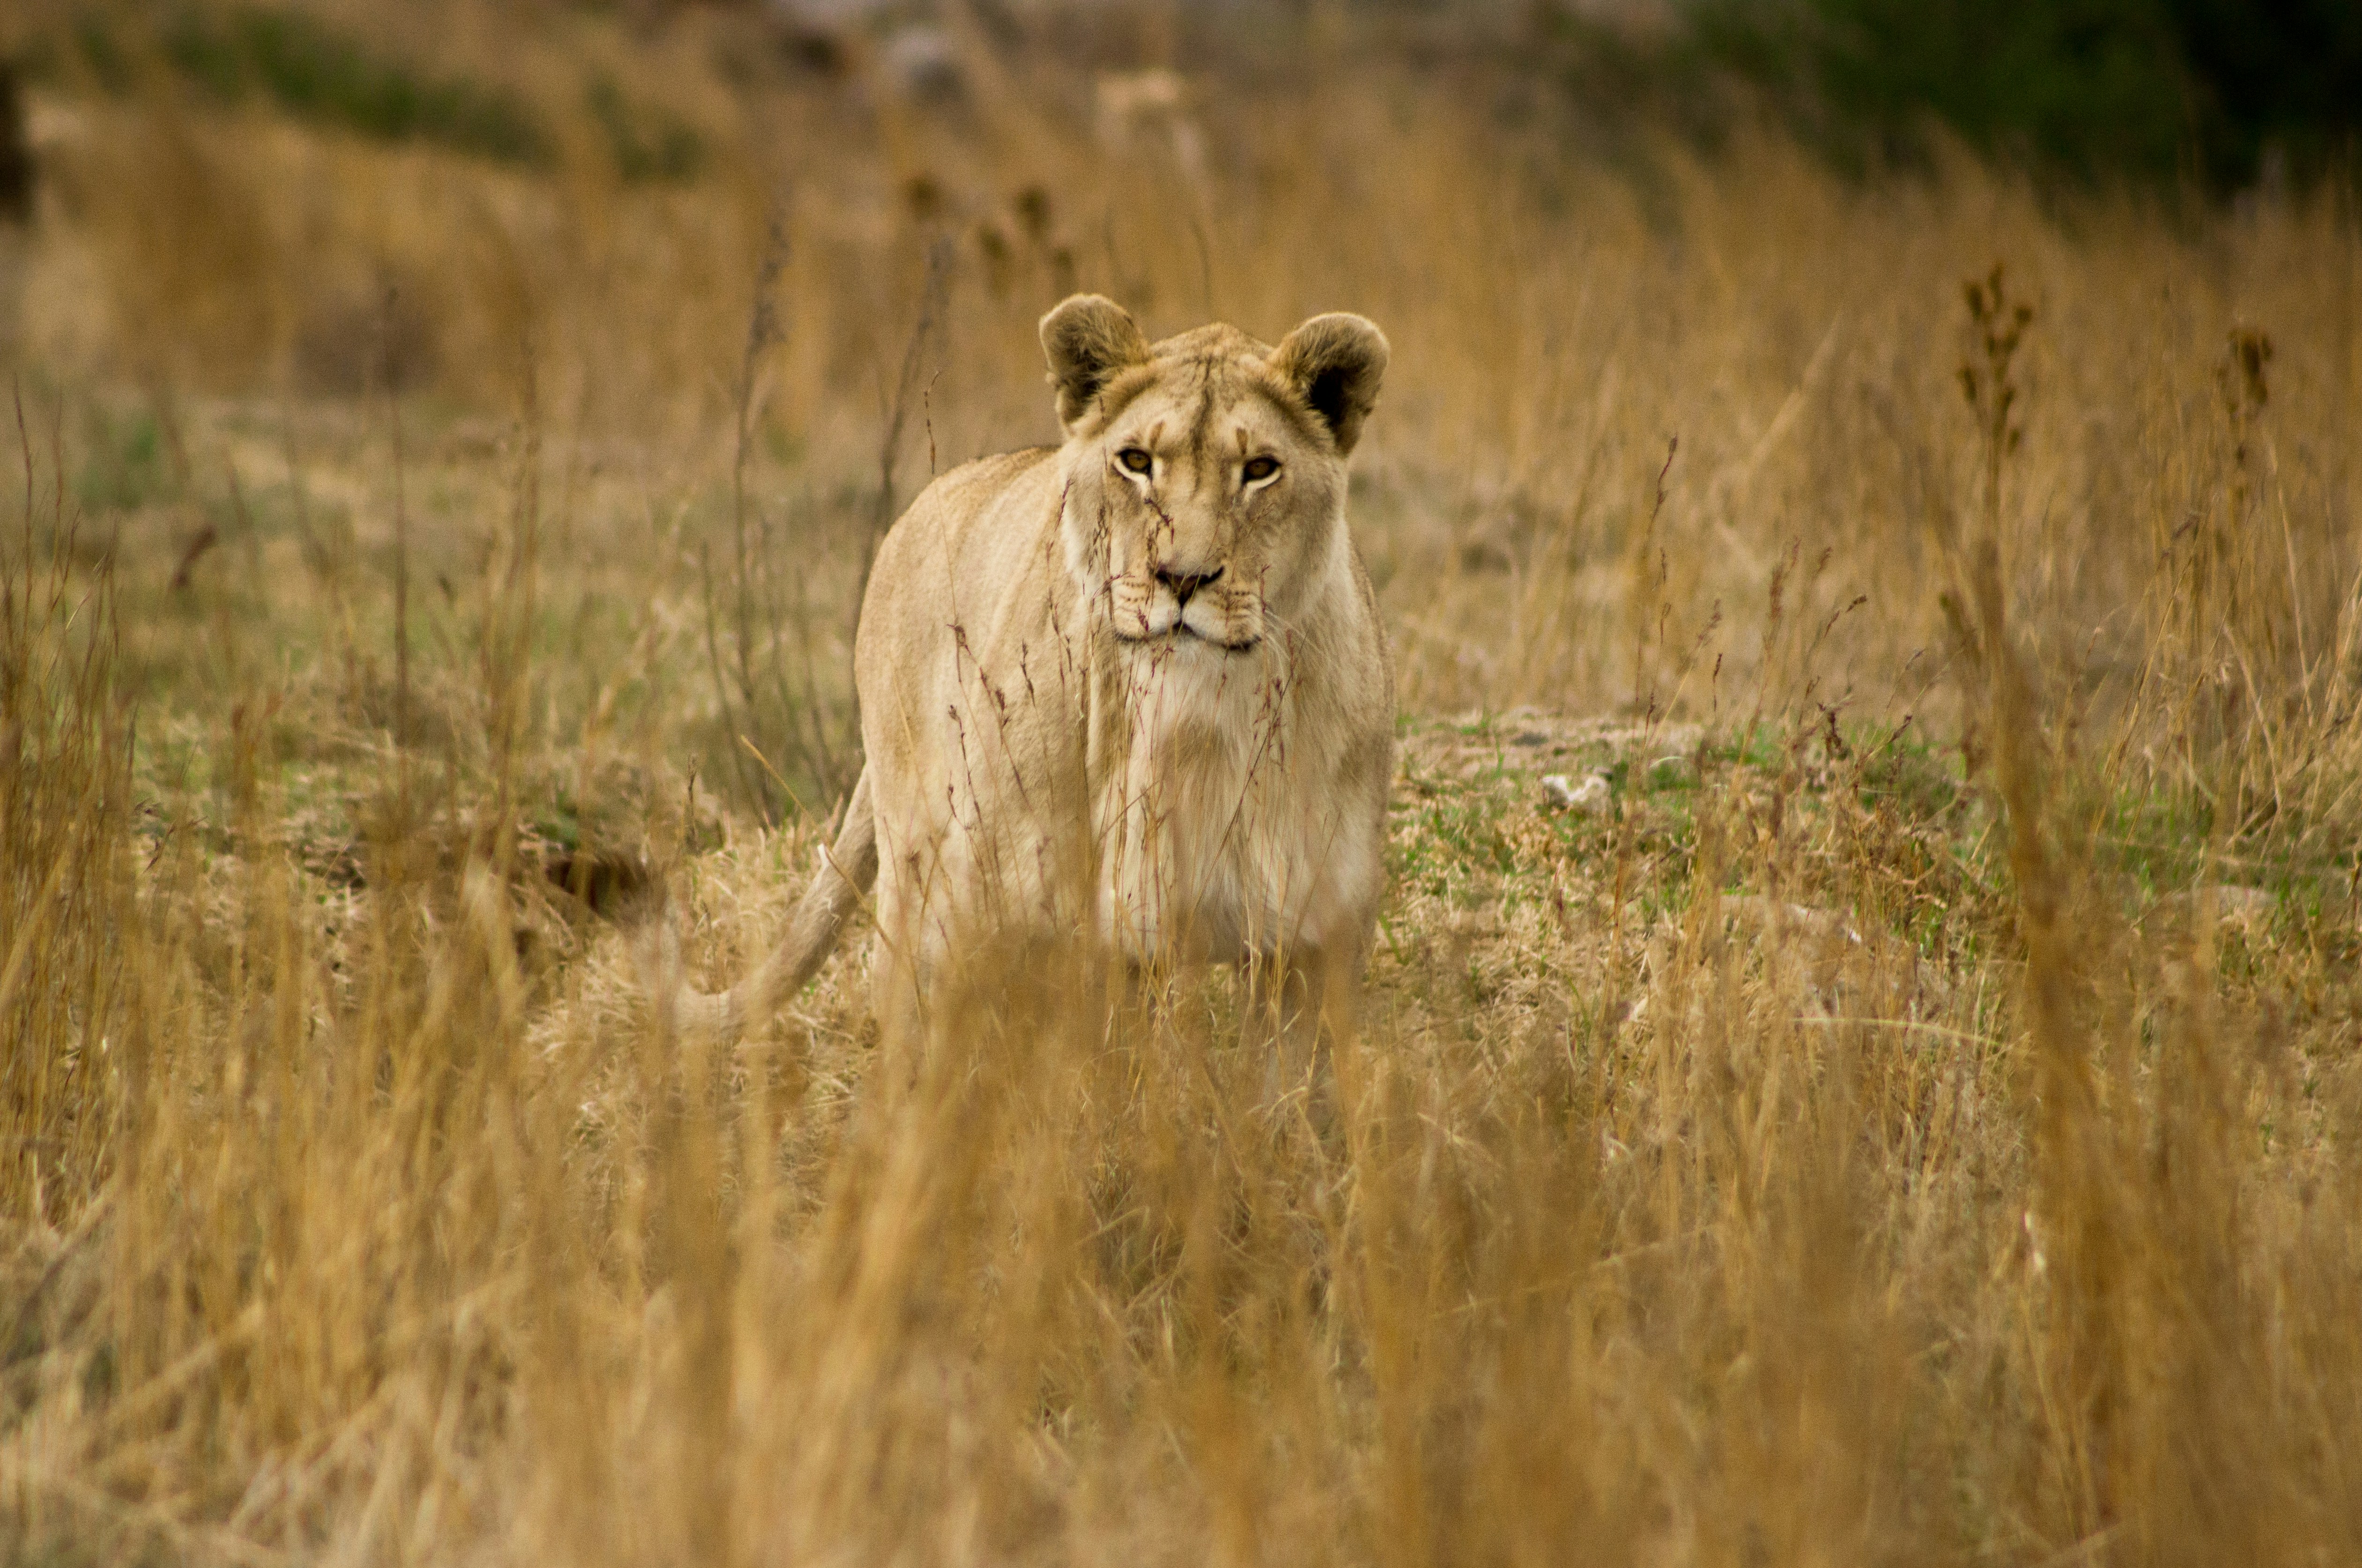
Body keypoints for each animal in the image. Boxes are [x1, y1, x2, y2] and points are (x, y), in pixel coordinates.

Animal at [676, 294, 1393, 1092]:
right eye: (1136, 462)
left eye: (1260, 470)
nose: (1180, 578)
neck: (1194, 725)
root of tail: (916, 510)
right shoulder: (999, 914)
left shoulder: (1306, 943)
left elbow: (1281, 1095)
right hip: (916, 864)